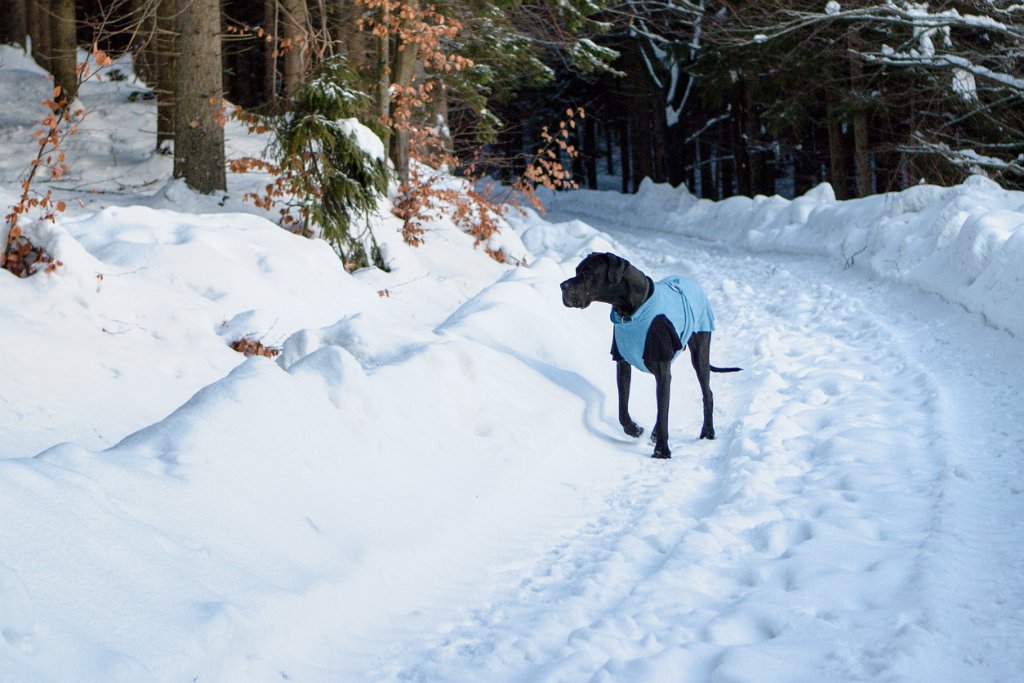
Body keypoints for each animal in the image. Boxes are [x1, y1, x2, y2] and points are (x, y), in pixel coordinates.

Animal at [561, 252, 737, 458]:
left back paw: (708, 431)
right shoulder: (623, 365)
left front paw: (662, 451)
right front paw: (635, 429)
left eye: (588, 273)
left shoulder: (662, 370)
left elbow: (663, 412)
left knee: (707, 393)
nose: (562, 286)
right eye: (576, 271)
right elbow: (623, 409)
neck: (631, 310)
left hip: (700, 351)